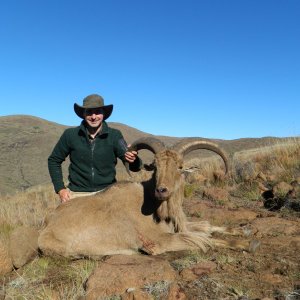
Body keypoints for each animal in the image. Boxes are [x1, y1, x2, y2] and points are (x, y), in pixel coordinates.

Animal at [38, 138, 258, 258]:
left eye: (180, 167)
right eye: (155, 167)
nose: (162, 190)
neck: (155, 207)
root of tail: (46, 223)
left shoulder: (179, 226)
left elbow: (205, 226)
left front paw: (243, 230)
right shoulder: (160, 240)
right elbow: (203, 239)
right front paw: (245, 244)